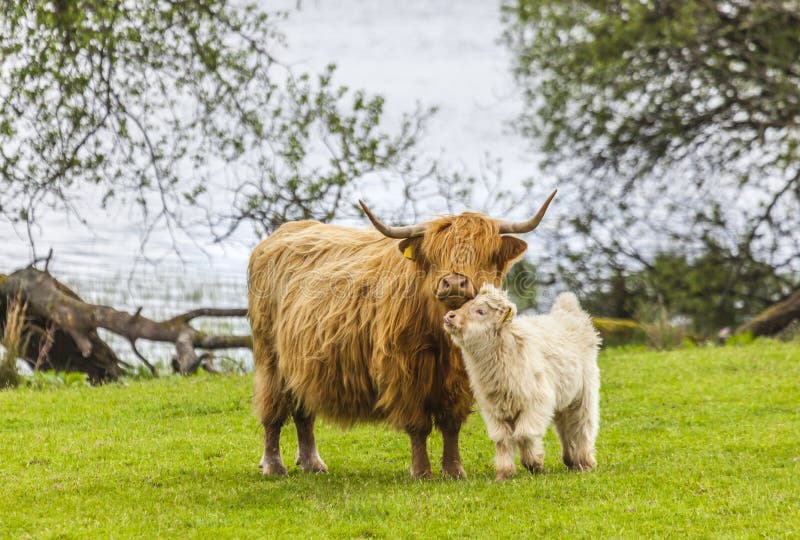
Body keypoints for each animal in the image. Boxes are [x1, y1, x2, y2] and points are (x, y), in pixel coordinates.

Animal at [250, 190, 556, 476]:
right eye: (435, 254)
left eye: (484, 254)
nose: (454, 282)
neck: (443, 342)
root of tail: (281, 233)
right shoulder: (405, 370)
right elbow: (418, 425)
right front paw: (421, 471)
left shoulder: (459, 378)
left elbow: (451, 424)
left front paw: (454, 470)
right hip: (271, 359)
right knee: (273, 412)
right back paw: (274, 466)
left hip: (300, 364)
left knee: (303, 413)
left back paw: (312, 463)